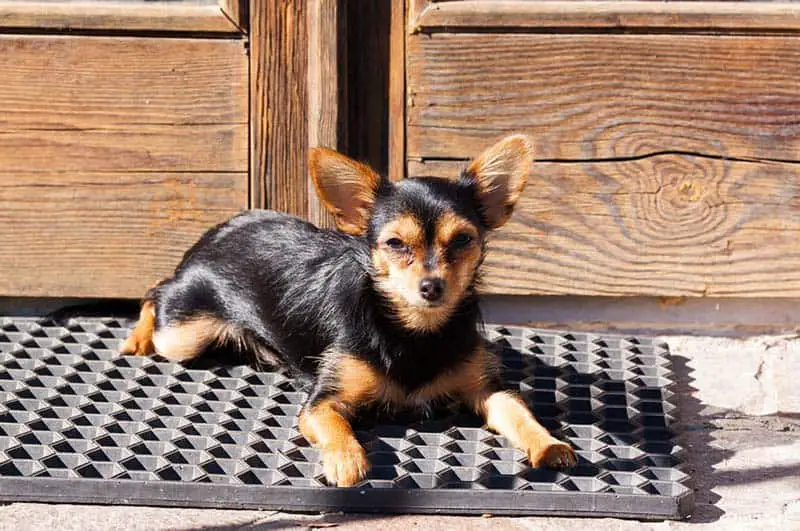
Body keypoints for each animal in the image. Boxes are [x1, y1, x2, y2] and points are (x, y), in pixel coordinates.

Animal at [120, 135, 576, 488]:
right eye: (395, 244)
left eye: (463, 239)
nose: (431, 286)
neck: (413, 333)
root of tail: (217, 231)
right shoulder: (322, 402)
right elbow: (335, 426)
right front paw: (347, 460)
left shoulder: (488, 390)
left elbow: (520, 413)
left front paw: (549, 443)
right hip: (184, 334)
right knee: (155, 291)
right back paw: (137, 337)